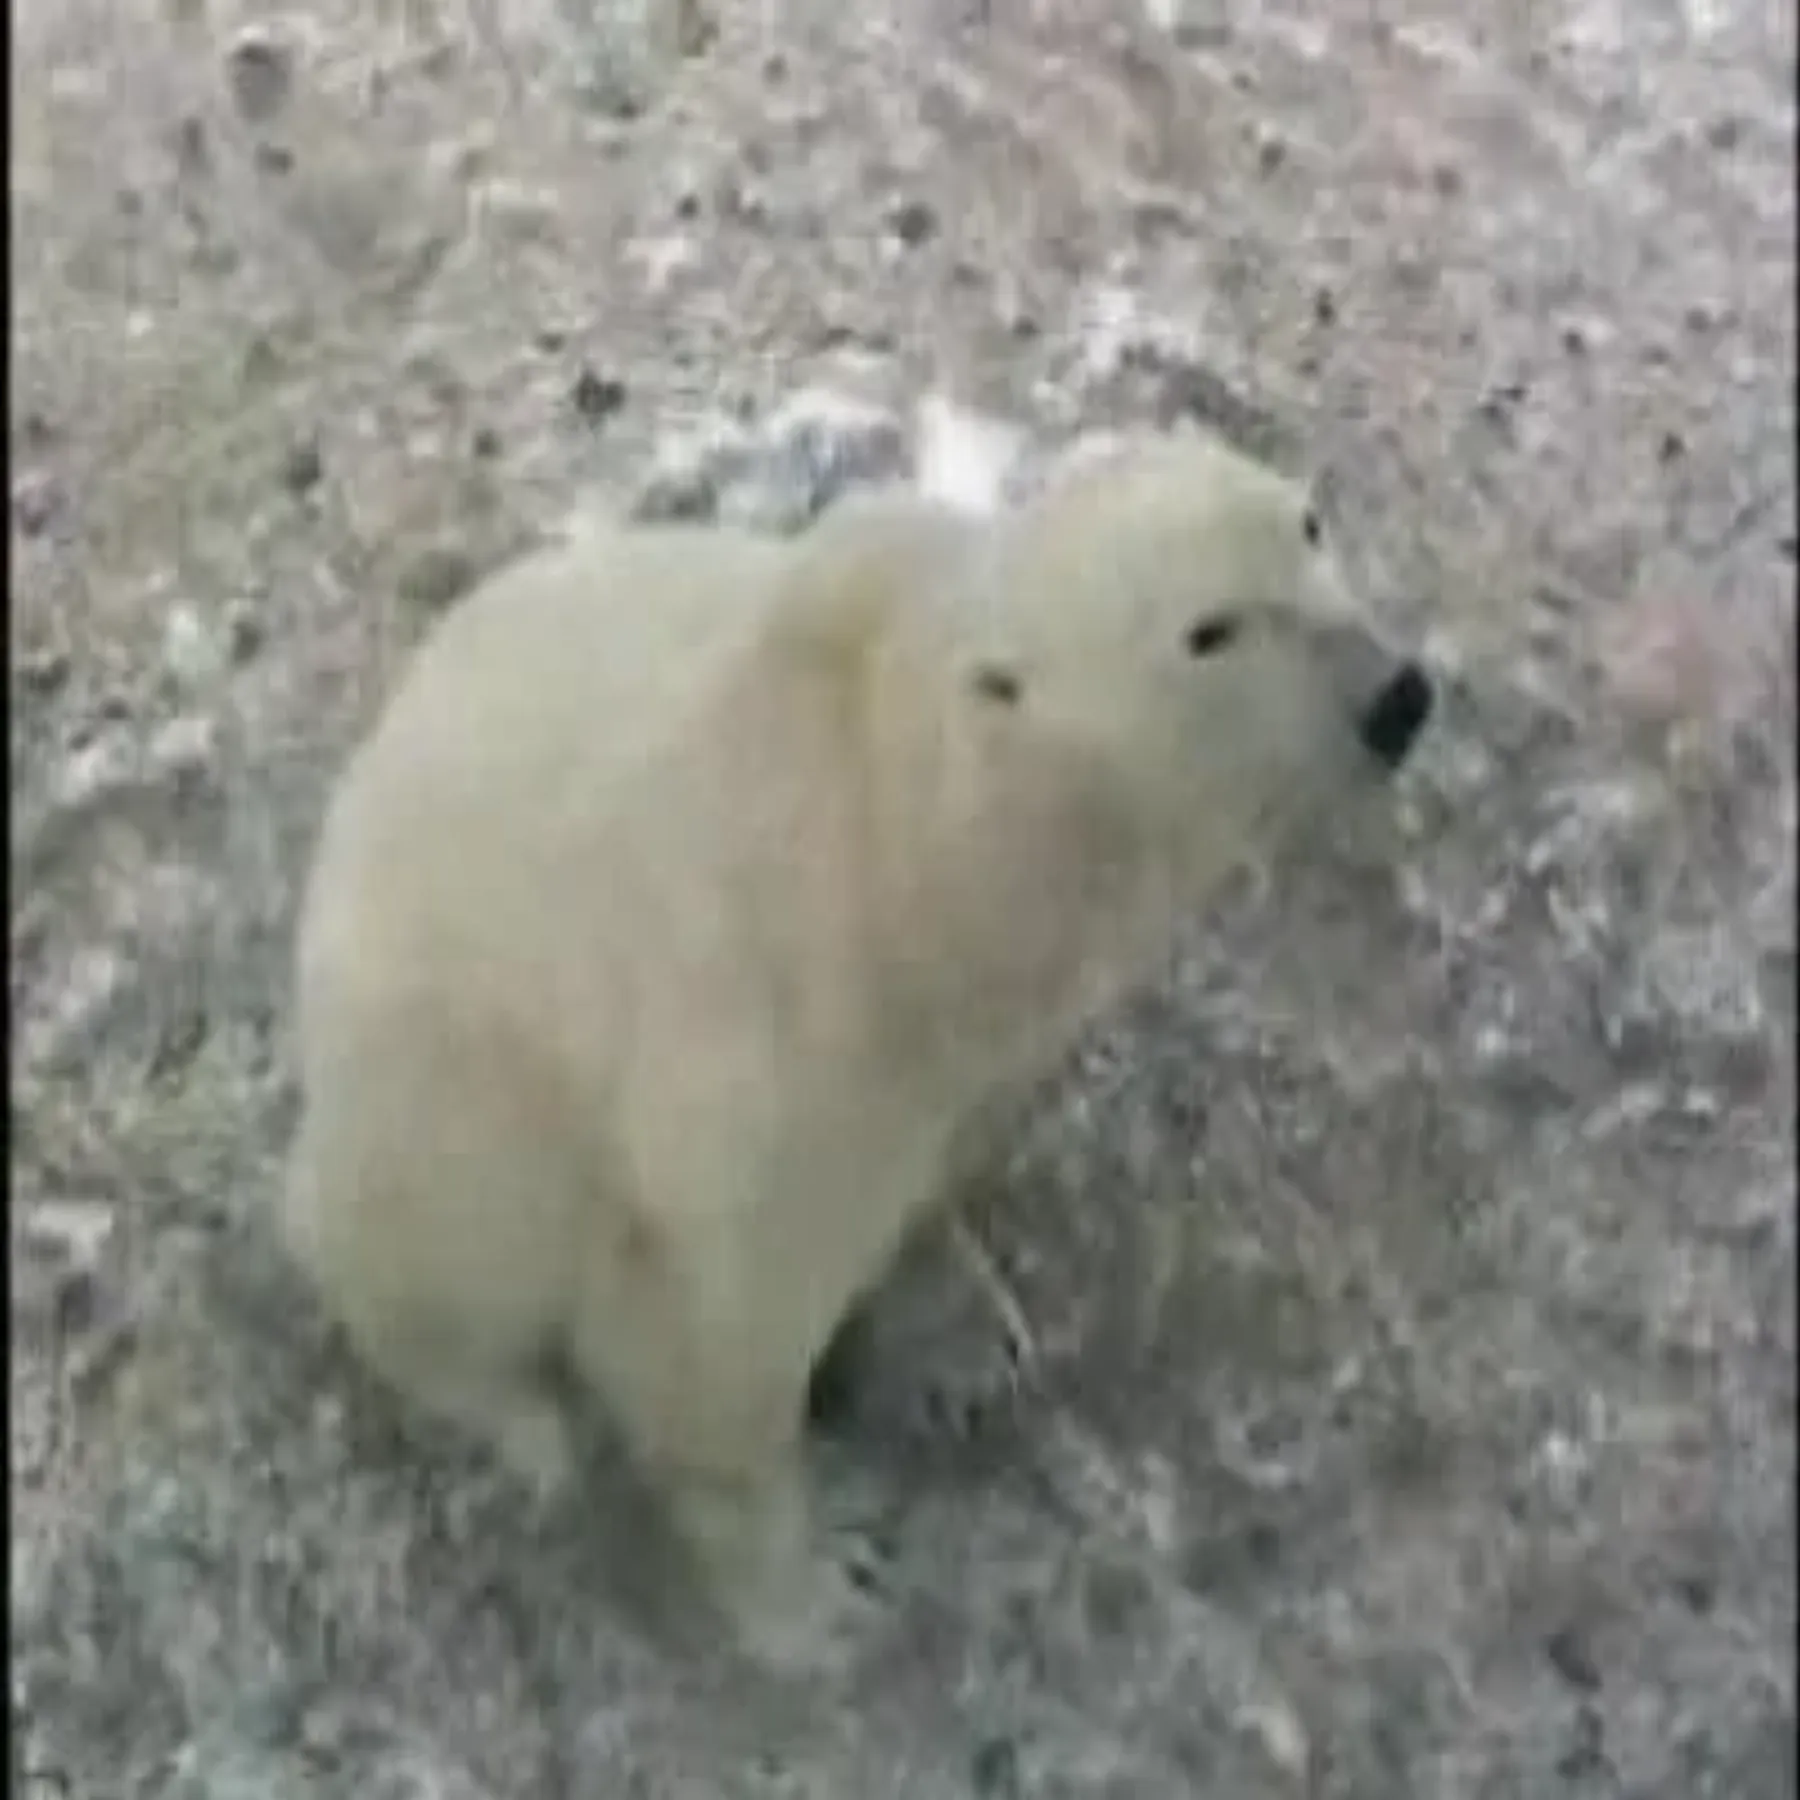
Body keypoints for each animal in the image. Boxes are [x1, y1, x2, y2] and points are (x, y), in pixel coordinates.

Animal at [280, 426, 1434, 1668]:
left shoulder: (982, 1030)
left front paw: (956, 1320)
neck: (928, 848)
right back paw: (517, 1415)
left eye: (1305, 522)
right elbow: (712, 1340)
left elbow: (952, 1151)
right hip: (435, 1102)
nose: (1397, 697)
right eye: (1210, 629)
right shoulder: (773, 1053)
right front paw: (820, 1600)